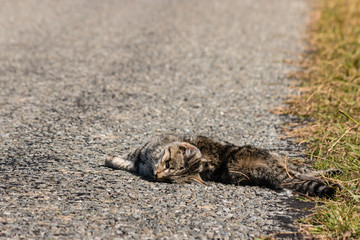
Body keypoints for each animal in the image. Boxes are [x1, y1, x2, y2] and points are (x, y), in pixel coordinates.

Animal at [105, 134, 340, 198]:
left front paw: (111, 160)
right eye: (168, 164)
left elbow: (127, 161)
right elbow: (129, 159)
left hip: (283, 174)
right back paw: (334, 173)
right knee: (308, 171)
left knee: (303, 177)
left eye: (171, 176)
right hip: (289, 165)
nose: (157, 176)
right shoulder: (141, 154)